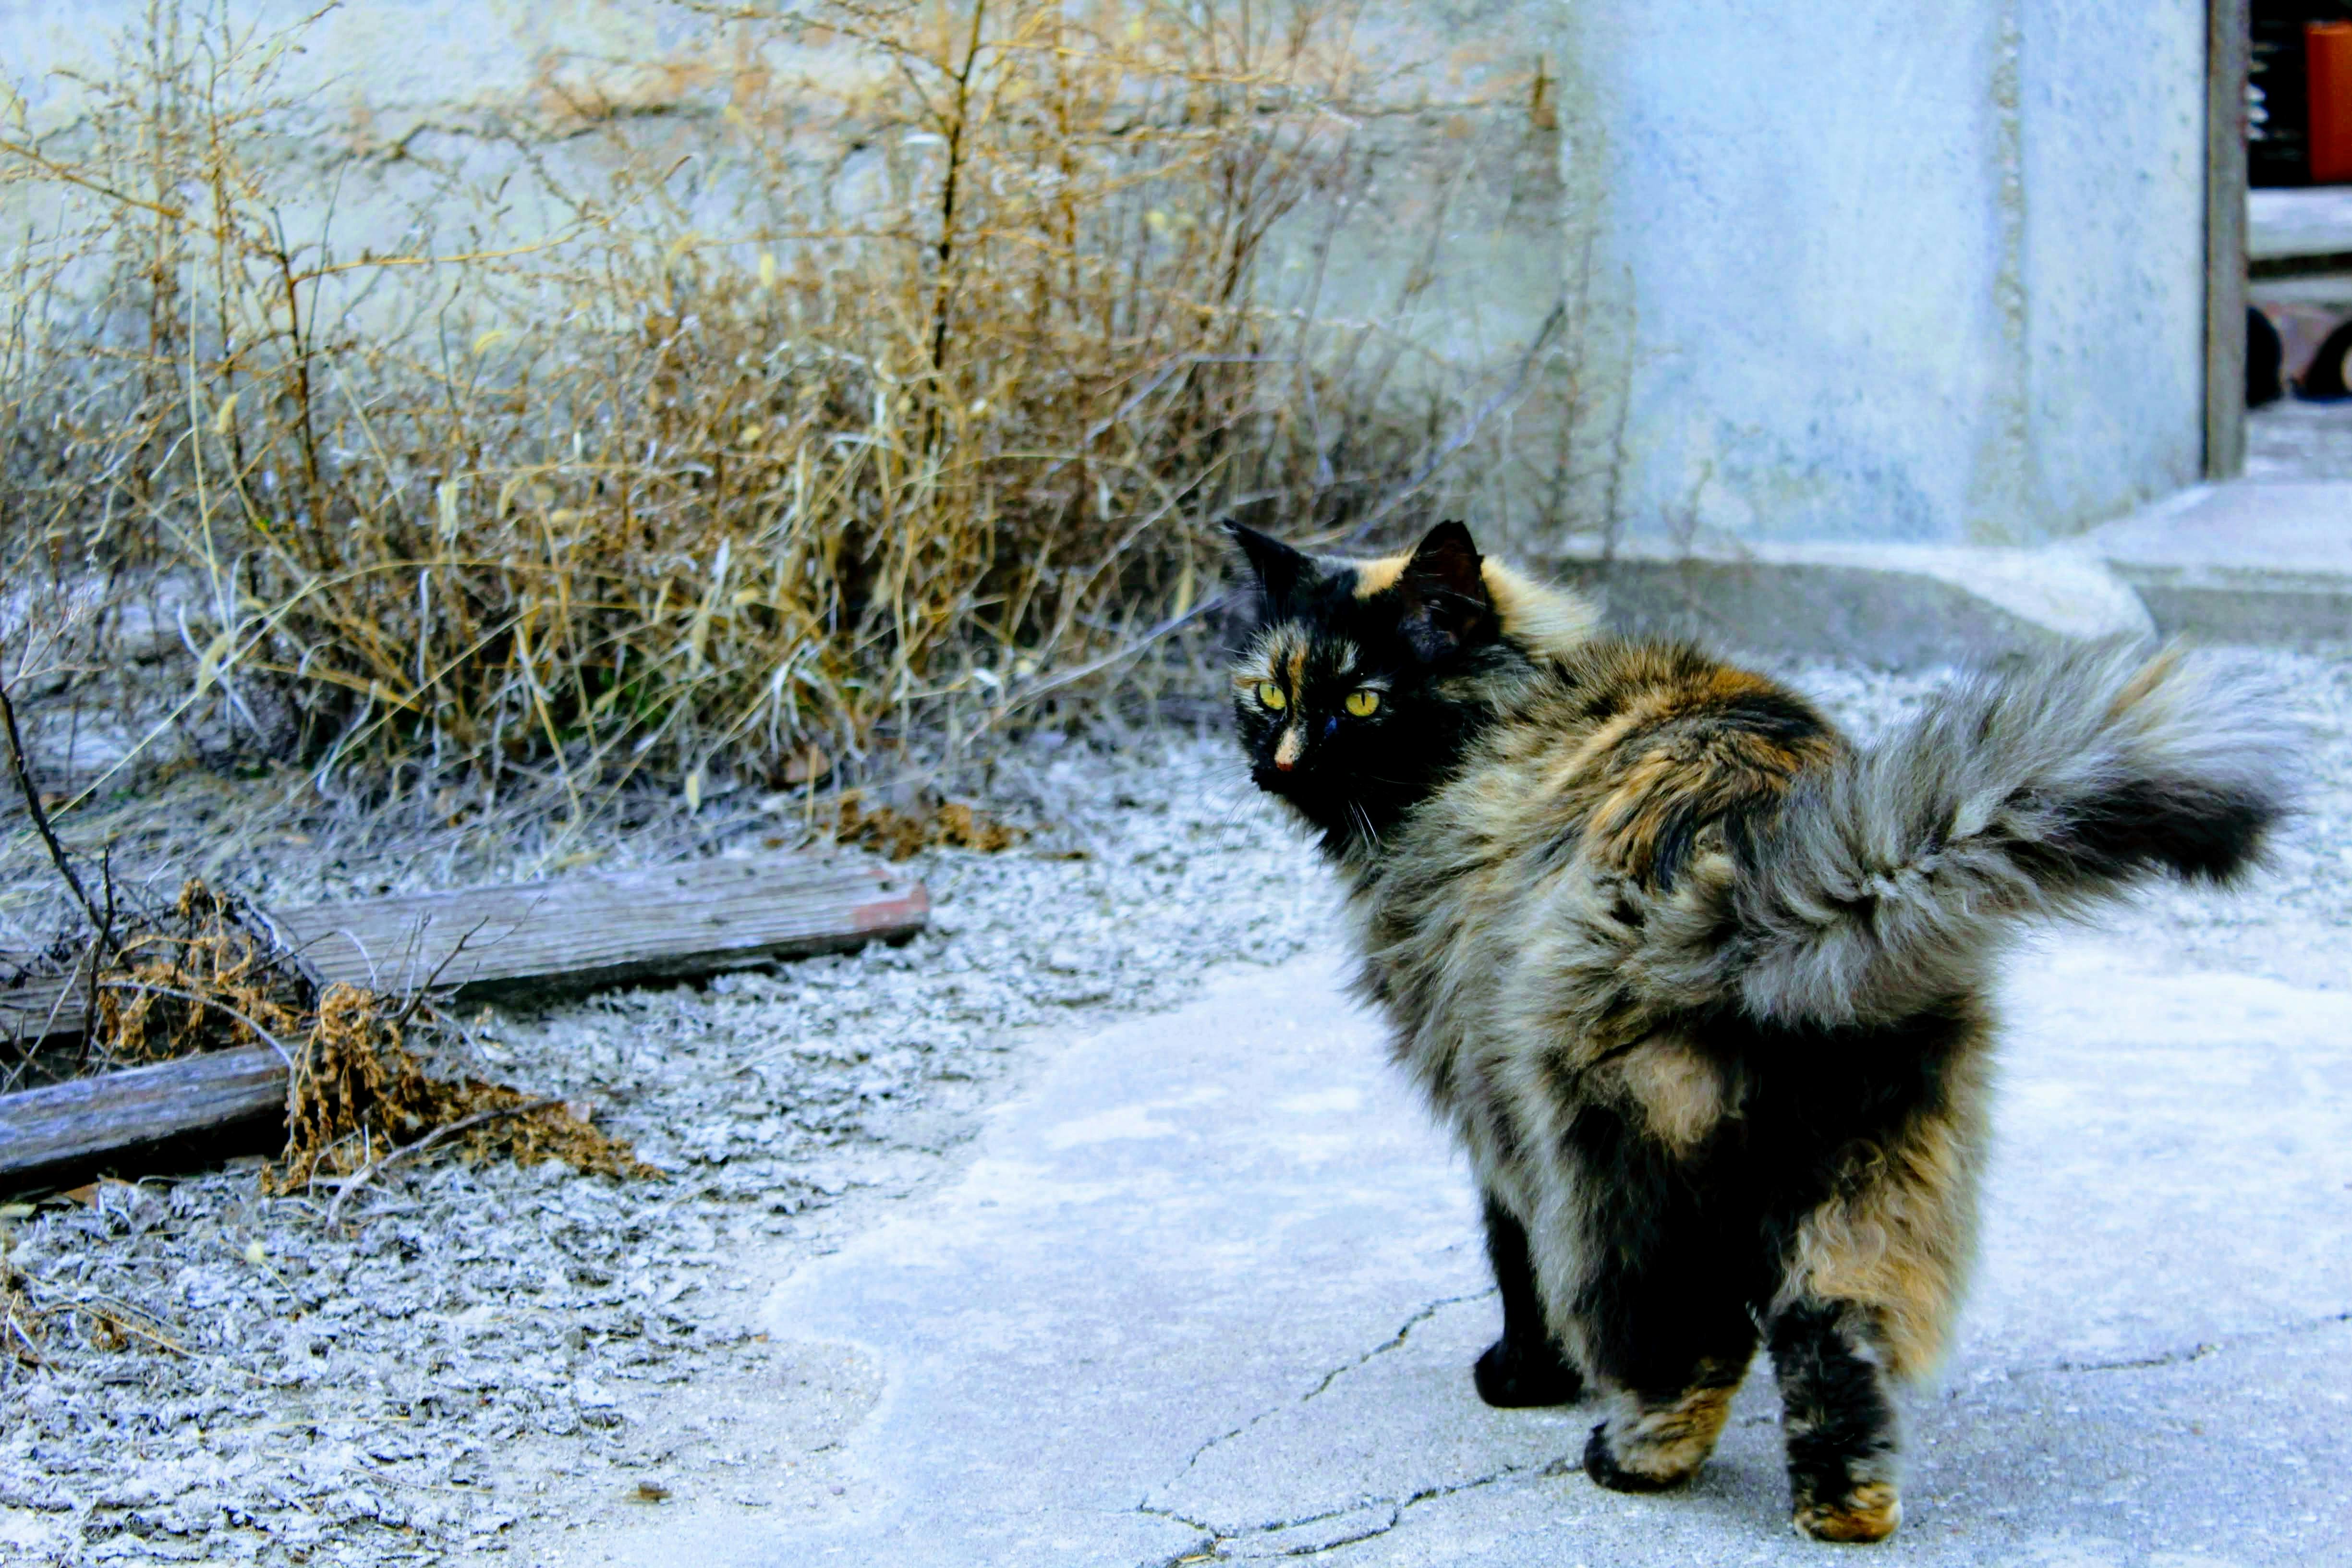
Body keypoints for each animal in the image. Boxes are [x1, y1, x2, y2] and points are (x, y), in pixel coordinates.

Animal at [1223, 522, 2286, 1542]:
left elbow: (1510, 1257)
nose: (1280, 761)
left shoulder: (1487, 1108)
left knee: (1696, 1341)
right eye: (1270, 692)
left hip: (1604, 1161)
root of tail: (1767, 864)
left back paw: (1631, 1461)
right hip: (1868, 1177)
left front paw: (1524, 1378)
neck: (1523, 707)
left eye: (1362, 701)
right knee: (1832, 1346)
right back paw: (1843, 1513)